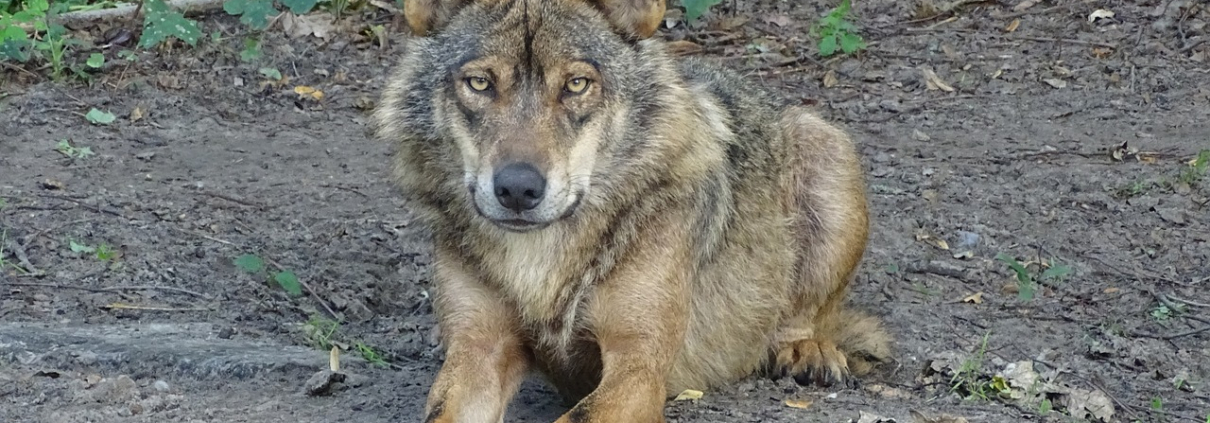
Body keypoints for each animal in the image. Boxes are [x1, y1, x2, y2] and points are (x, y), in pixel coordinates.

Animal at [371, 0, 893, 421]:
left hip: (827, 148)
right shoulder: (478, 350)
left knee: (804, 316)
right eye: (480, 83)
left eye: (577, 84)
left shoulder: (638, 364)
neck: (541, 260)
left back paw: (808, 350)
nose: (517, 189)